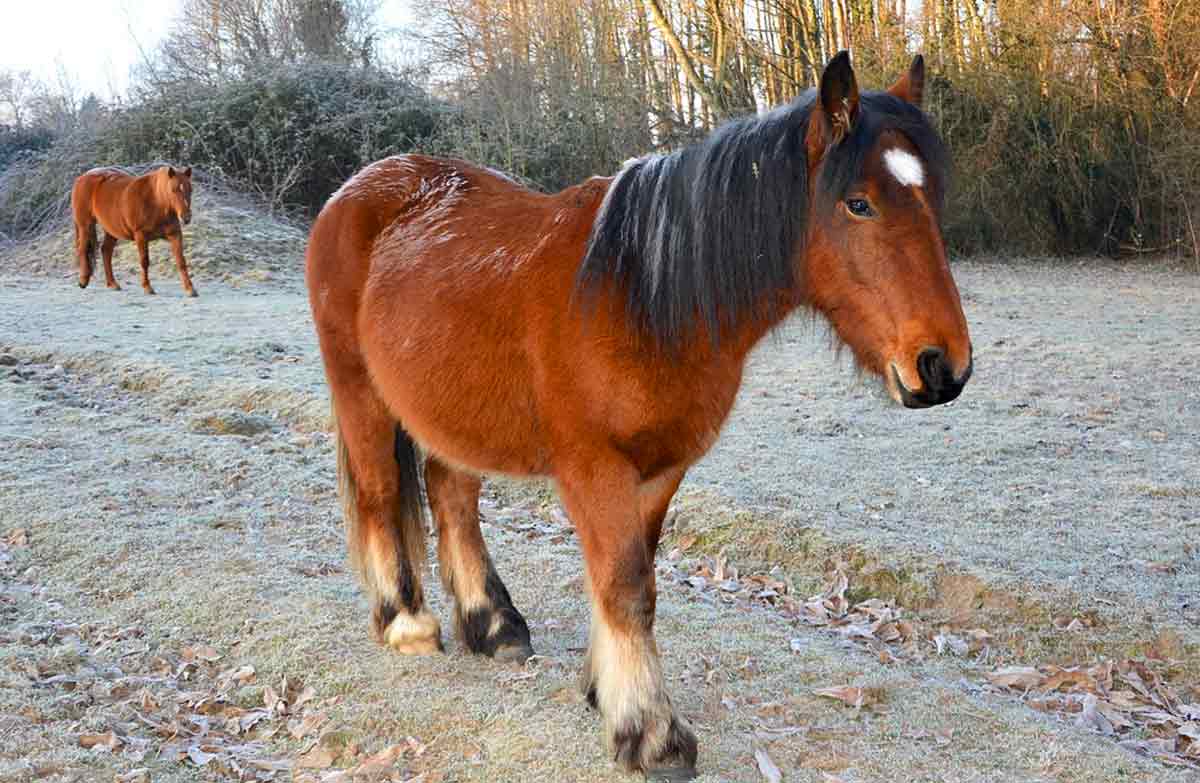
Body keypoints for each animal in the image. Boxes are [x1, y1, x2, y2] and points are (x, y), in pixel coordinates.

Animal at [71, 165, 197, 297]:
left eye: (190, 190)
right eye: (173, 190)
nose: (186, 217)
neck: (156, 202)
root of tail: (83, 177)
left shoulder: (175, 234)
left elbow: (181, 261)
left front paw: (190, 289)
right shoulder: (141, 236)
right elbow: (144, 261)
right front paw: (147, 287)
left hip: (111, 230)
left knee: (106, 251)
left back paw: (112, 284)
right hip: (85, 225)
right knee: (83, 249)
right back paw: (83, 281)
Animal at [306, 52, 971, 780]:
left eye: (933, 199)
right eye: (858, 202)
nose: (943, 366)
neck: (638, 294)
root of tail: (359, 189)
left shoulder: (660, 469)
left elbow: (634, 580)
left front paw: (605, 691)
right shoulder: (594, 470)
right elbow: (625, 587)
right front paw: (651, 734)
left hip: (450, 410)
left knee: (452, 496)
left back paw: (494, 625)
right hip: (360, 391)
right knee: (379, 491)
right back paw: (407, 624)